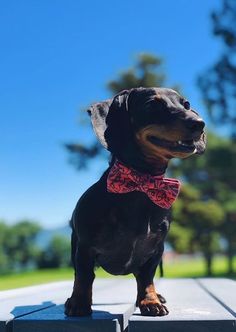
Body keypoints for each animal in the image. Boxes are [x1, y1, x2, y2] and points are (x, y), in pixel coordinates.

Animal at [63, 87, 206, 316]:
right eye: (152, 105)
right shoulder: (84, 248)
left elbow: (147, 279)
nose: (199, 124)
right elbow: (84, 277)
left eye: (186, 104)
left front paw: (150, 301)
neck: (140, 184)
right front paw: (78, 303)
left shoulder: (156, 251)